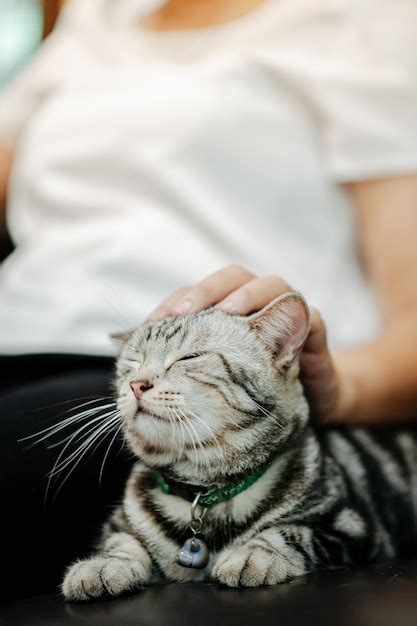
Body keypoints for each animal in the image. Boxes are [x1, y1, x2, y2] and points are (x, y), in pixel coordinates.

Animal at [61, 292, 416, 600]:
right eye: (131, 366)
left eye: (189, 358)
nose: (136, 384)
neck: (206, 487)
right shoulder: (118, 524)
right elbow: (121, 542)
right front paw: (102, 566)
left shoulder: (350, 527)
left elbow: (290, 532)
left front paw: (254, 555)